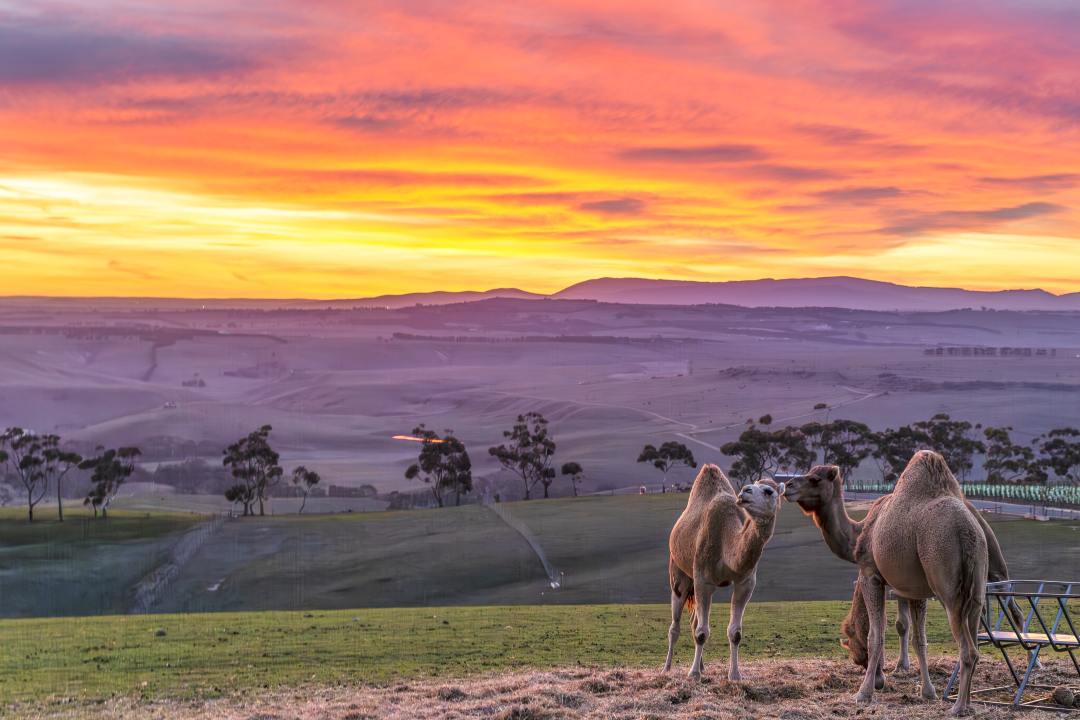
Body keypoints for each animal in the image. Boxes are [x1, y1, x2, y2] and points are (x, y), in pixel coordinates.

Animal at [663, 464, 785, 680]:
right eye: (752, 485)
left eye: (768, 491)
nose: (744, 491)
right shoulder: (703, 580)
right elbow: (702, 633)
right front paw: (693, 674)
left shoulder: (745, 582)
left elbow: (735, 632)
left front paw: (735, 675)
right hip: (679, 573)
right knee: (675, 626)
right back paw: (667, 669)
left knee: (693, 622)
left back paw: (702, 666)